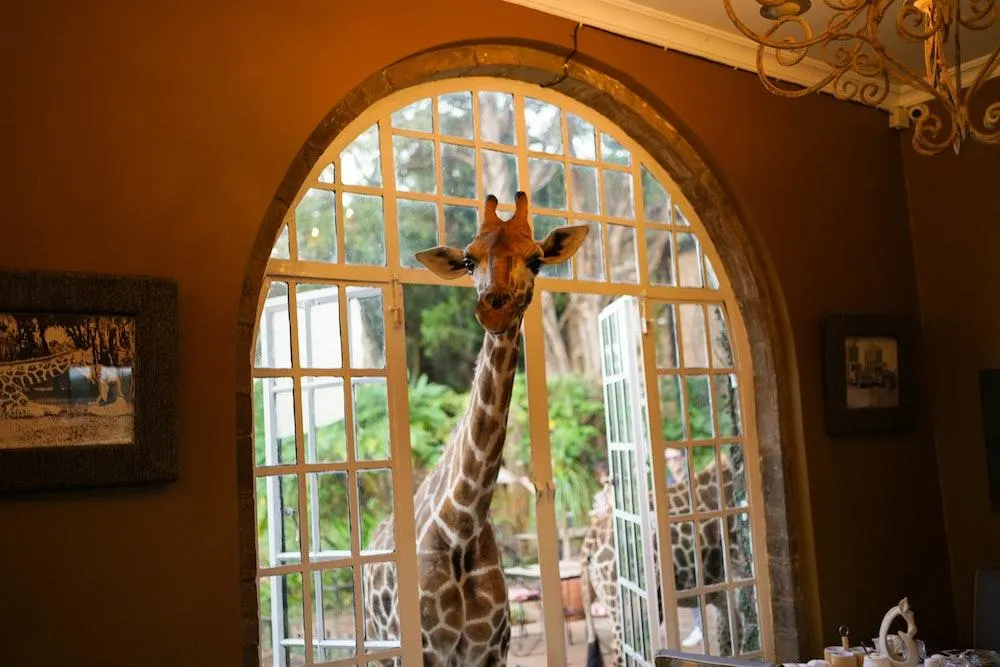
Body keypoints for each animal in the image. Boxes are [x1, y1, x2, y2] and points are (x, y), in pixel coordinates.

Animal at [364, 190, 588, 664]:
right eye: (469, 260)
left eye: (536, 260)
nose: (493, 307)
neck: (461, 524)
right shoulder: (426, 649)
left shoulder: (490, 649)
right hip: (382, 644)